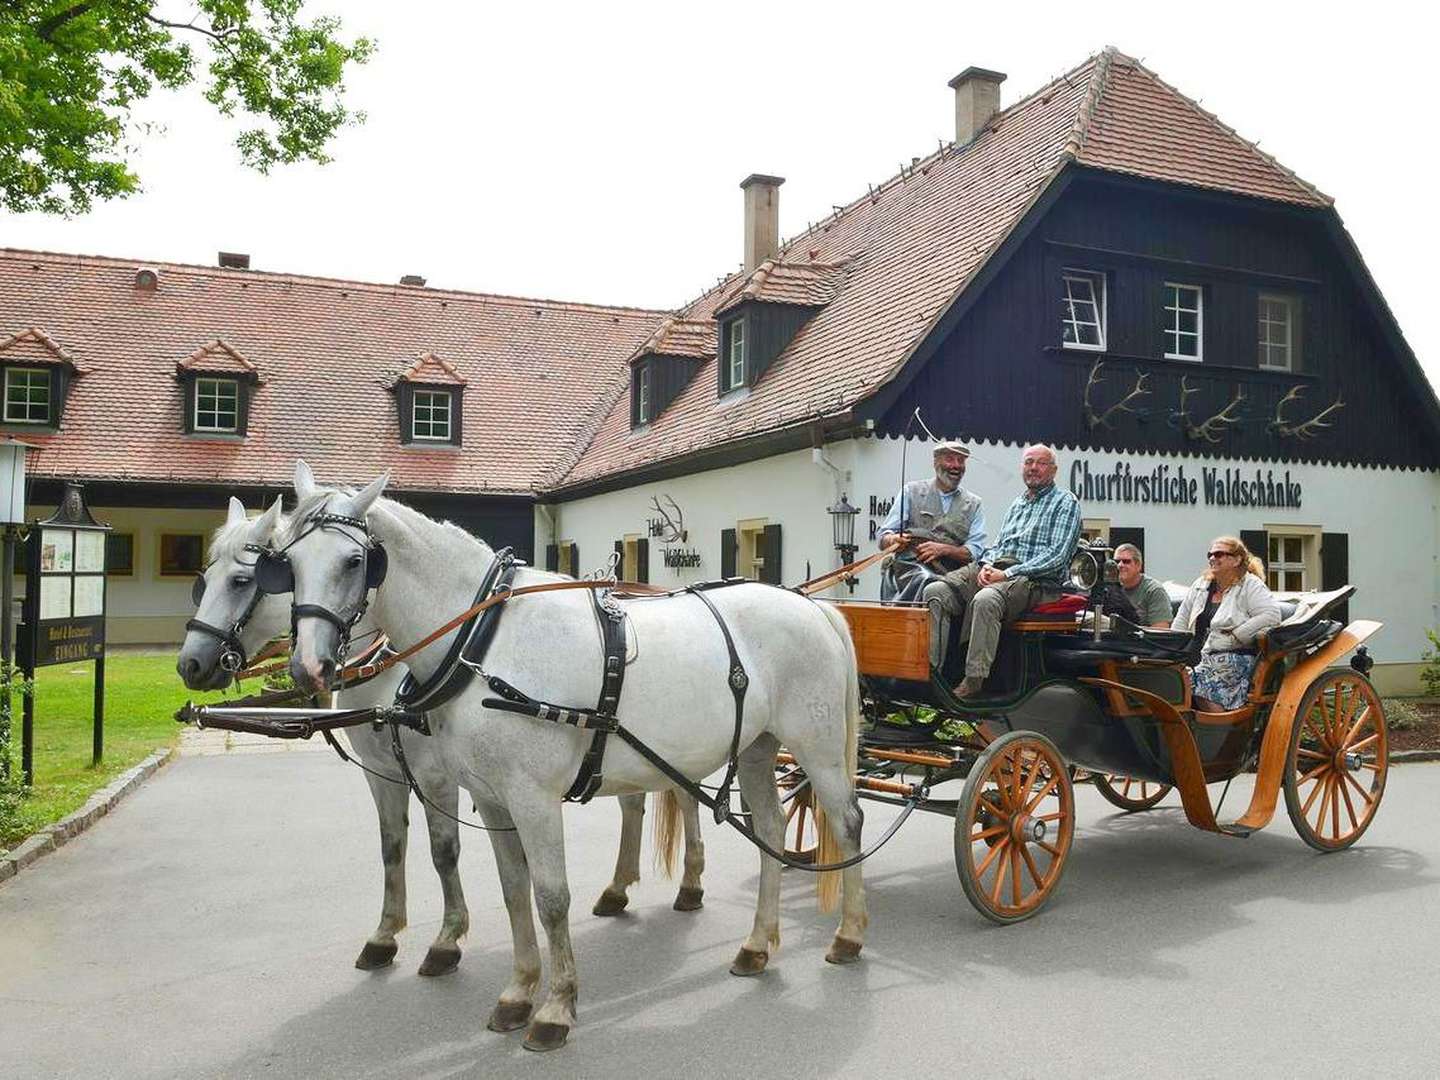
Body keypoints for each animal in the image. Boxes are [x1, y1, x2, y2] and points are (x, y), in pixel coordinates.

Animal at [180, 498, 708, 979]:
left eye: (245, 579)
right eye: (204, 578)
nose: (191, 664)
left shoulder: (437, 776)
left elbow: (442, 849)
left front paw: (446, 940)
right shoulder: (385, 775)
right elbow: (392, 846)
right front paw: (384, 935)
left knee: (685, 795)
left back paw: (690, 884)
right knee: (635, 802)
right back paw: (618, 889)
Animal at [276, 469, 869, 1054]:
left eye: (354, 561)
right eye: (286, 561)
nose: (307, 669)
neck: (483, 642)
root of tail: (812, 606)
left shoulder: (532, 797)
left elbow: (551, 897)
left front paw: (556, 1008)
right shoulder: (492, 797)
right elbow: (514, 892)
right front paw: (518, 992)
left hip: (815, 745)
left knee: (846, 822)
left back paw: (848, 934)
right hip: (756, 747)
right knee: (770, 828)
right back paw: (758, 944)